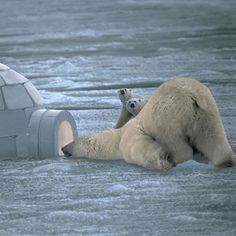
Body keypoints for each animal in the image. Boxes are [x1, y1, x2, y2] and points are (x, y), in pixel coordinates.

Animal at [61, 78, 235, 171]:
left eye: (74, 141)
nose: (63, 148)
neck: (116, 139)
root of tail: (192, 92)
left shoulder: (130, 136)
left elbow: (140, 148)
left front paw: (162, 159)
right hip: (207, 112)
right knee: (213, 137)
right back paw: (225, 161)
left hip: (167, 114)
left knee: (175, 141)